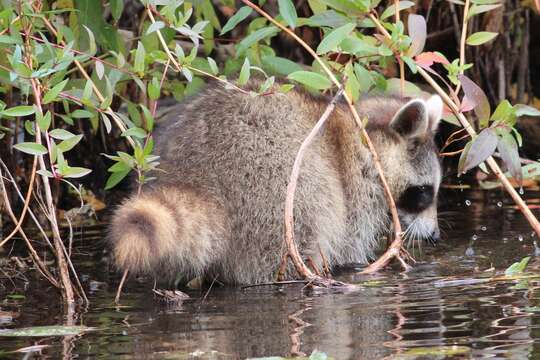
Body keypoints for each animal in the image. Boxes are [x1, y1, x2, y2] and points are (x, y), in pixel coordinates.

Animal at [108, 80, 442, 286]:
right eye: (424, 193)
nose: (437, 236)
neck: (363, 138)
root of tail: (196, 174)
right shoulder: (356, 190)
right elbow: (349, 246)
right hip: (276, 184)